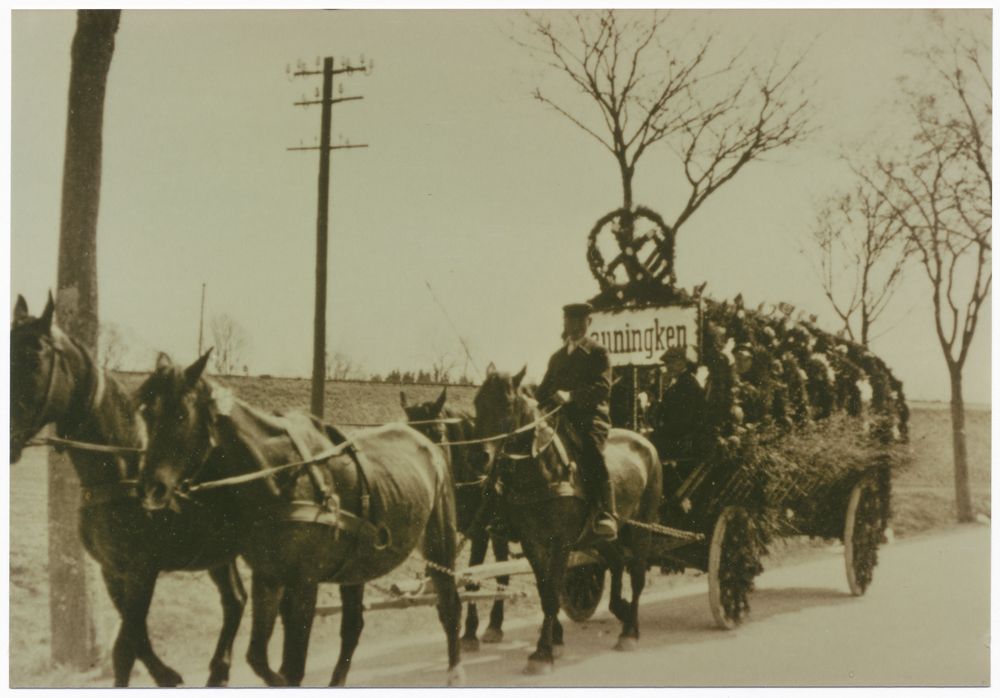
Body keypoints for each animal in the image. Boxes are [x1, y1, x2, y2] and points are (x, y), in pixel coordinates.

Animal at [10, 294, 249, 684]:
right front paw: (167, 675)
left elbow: (125, 648)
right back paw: (219, 670)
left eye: (33, 360)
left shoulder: (141, 569)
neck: (121, 472)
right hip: (219, 553)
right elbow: (136, 640)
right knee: (236, 599)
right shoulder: (113, 570)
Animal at [138, 350, 464, 684]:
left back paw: (455, 671)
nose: (150, 488)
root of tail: (426, 445)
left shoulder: (304, 581)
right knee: (353, 627)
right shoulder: (268, 577)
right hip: (357, 564)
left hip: (440, 541)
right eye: (146, 414)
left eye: (181, 414)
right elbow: (258, 657)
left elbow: (293, 666)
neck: (281, 474)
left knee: (449, 605)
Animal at [470, 368, 660, 672]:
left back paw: (629, 631)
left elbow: (551, 593)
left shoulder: (559, 543)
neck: (544, 469)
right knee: (617, 562)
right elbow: (545, 589)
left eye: (507, 404)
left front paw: (542, 652)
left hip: (642, 529)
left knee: (638, 576)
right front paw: (554, 641)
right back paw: (621, 610)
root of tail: (646, 444)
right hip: (601, 537)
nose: (478, 457)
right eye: (477, 403)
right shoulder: (533, 543)